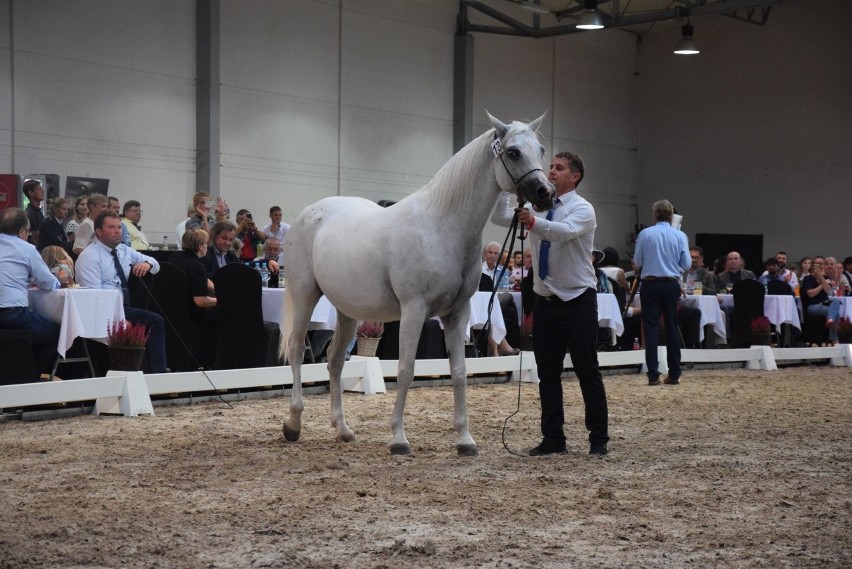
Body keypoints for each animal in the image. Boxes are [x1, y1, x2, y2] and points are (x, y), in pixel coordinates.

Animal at [282, 113, 556, 454]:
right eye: (514, 152)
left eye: (541, 149)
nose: (546, 193)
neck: (441, 226)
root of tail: (310, 213)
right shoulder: (413, 311)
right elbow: (405, 370)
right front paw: (399, 438)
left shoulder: (458, 313)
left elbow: (460, 372)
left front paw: (465, 440)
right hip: (304, 295)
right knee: (296, 349)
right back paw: (293, 424)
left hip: (347, 310)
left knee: (334, 361)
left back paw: (343, 430)